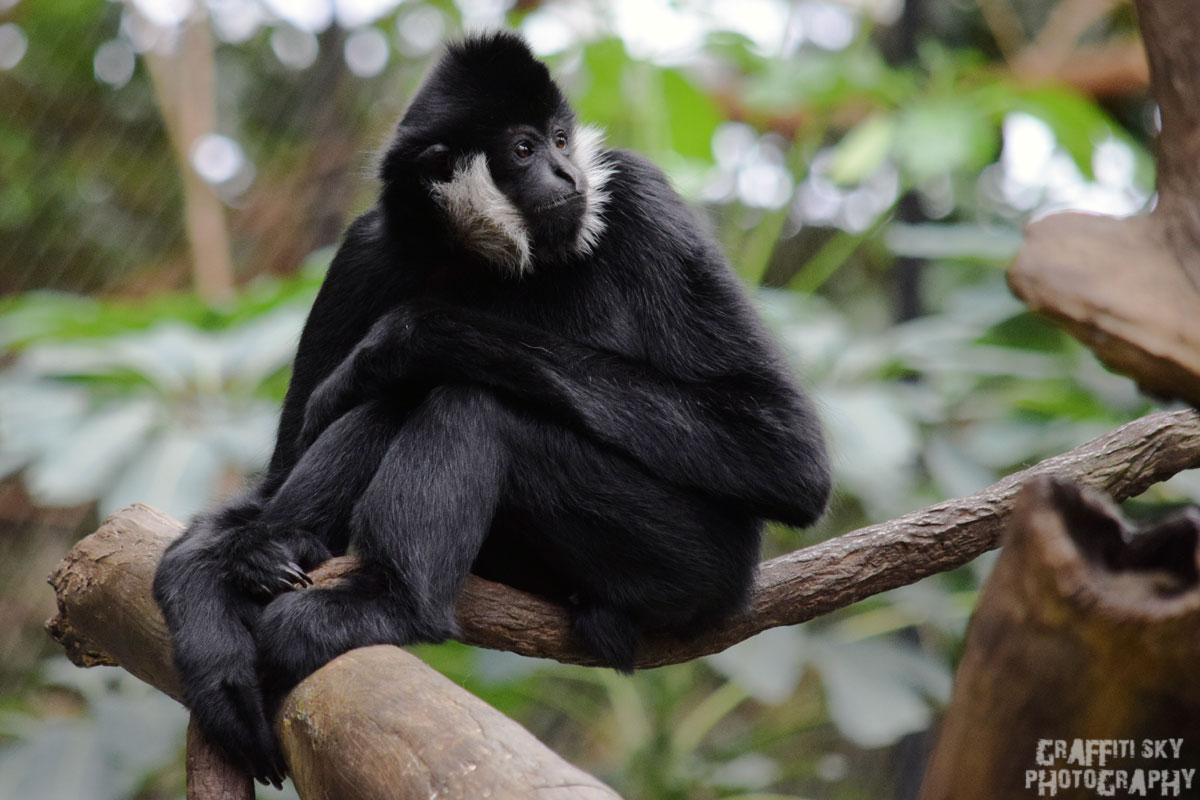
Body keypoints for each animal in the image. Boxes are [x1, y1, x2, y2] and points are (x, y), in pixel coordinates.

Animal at [153, 31, 831, 787]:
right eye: (525, 150)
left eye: (561, 139)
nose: (568, 173)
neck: (484, 262)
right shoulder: (364, 249)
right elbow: (275, 475)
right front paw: (216, 645)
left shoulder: (637, 193)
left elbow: (786, 452)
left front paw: (408, 336)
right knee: (386, 413)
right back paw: (281, 556)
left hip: (697, 558)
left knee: (469, 401)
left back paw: (391, 603)